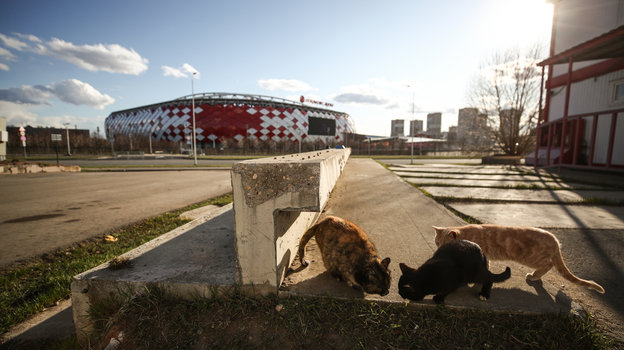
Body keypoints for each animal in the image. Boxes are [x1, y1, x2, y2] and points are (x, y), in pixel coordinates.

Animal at [434, 224, 604, 292]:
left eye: (444, 244)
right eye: (437, 242)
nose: (439, 249)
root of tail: (555, 240)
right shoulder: (484, 256)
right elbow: (486, 266)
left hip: (532, 258)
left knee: (548, 265)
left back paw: (534, 276)